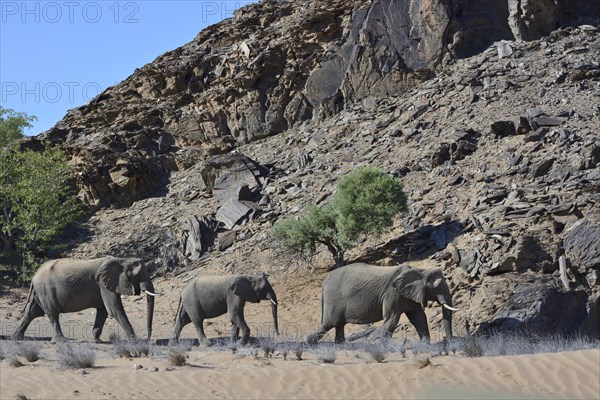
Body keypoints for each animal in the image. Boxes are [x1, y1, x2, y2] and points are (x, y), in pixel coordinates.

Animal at [12, 258, 157, 342]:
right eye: (137, 276)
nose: (149, 339)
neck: (122, 260)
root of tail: (34, 276)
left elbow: (103, 310)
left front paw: (96, 341)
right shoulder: (103, 284)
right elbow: (114, 309)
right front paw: (135, 341)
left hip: (40, 291)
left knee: (33, 312)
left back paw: (17, 337)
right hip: (45, 289)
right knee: (52, 313)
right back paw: (61, 341)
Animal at [308, 262, 458, 344]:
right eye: (437, 286)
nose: (448, 340)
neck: (419, 269)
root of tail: (324, 281)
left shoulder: (409, 295)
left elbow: (419, 318)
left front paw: (426, 345)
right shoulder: (392, 293)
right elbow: (392, 319)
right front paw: (384, 347)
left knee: (339, 325)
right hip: (333, 298)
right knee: (329, 324)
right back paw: (307, 343)